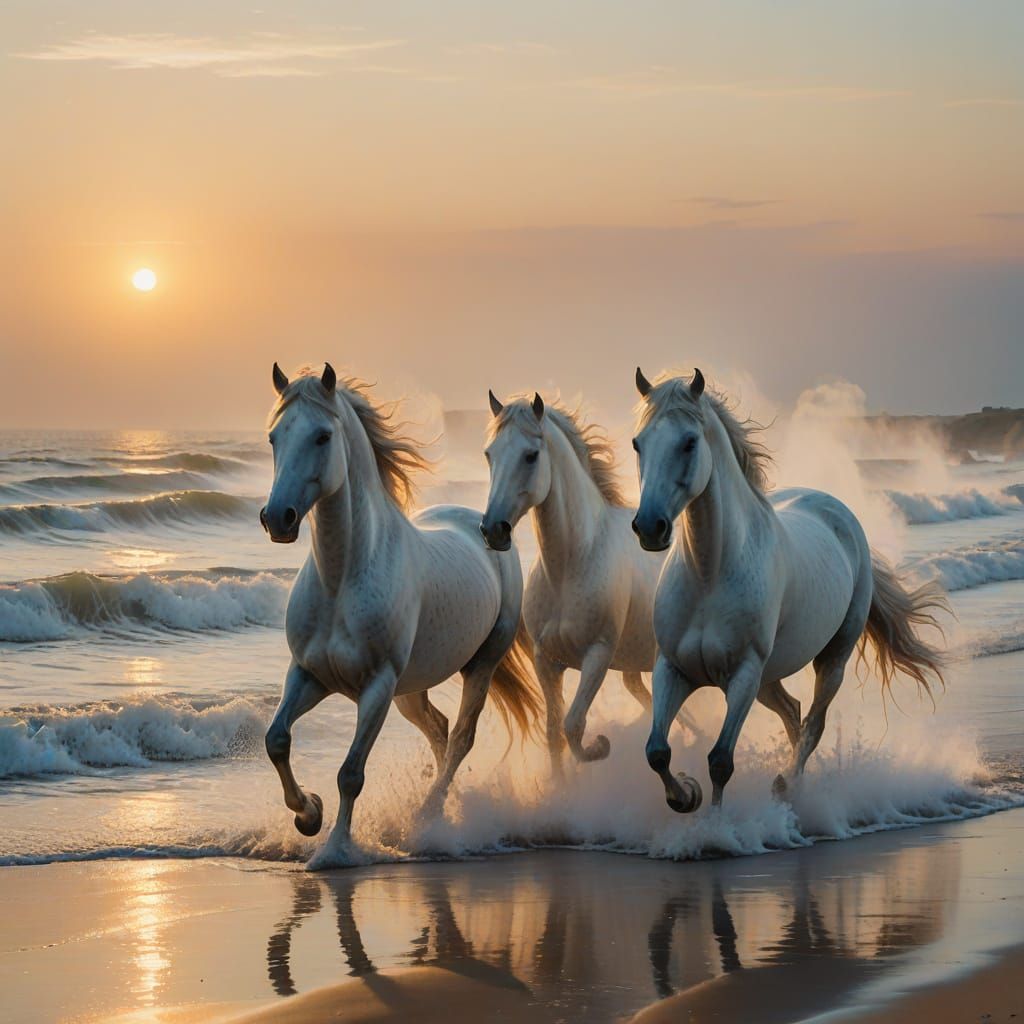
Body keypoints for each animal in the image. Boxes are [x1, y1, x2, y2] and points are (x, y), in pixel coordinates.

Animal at [260, 363, 540, 865]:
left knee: (460, 738)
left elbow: (351, 773)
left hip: (479, 665)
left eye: (322, 436)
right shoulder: (309, 675)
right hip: (411, 689)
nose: (277, 518)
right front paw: (308, 814)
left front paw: (334, 850)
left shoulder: (376, 687)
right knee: (439, 731)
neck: (342, 579)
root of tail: (484, 525)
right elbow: (277, 740)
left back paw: (428, 819)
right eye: (275, 436)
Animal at [479, 390, 701, 774]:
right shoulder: (546, 661)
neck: (568, 568)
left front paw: (599, 747)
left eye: (531, 455)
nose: (494, 529)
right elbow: (554, 732)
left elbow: (573, 725)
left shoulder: (597, 655)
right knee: (642, 691)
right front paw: (563, 785)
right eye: (489, 453)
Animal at [630, 367, 946, 813]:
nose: (649, 527)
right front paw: (686, 796)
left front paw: (714, 823)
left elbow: (720, 761)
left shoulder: (744, 673)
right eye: (638, 443)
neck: (709, 577)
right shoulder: (672, 668)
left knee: (813, 724)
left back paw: (787, 785)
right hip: (768, 677)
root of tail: (834, 507)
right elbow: (657, 751)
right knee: (793, 714)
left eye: (689, 442)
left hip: (830, 660)